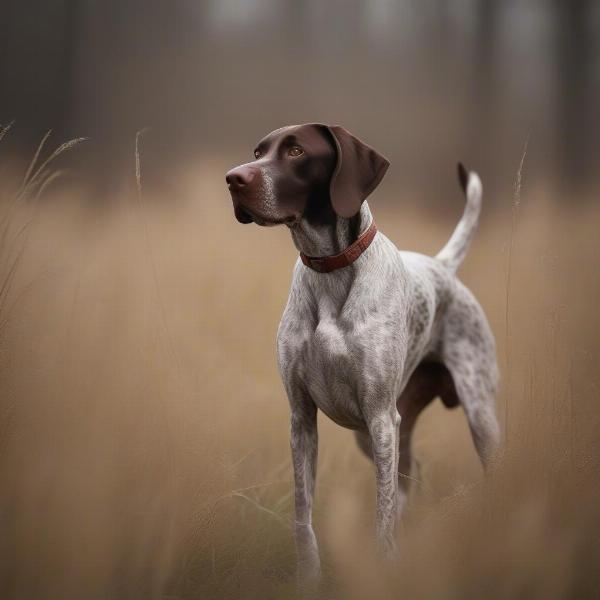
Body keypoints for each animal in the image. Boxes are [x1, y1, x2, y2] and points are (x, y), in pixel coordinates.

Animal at [227, 124, 500, 580]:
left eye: (296, 151)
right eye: (258, 152)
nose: (233, 178)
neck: (330, 269)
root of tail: (442, 267)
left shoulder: (380, 419)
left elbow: (381, 516)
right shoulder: (302, 418)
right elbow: (303, 514)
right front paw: (309, 578)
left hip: (476, 416)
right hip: (381, 432)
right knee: (409, 481)